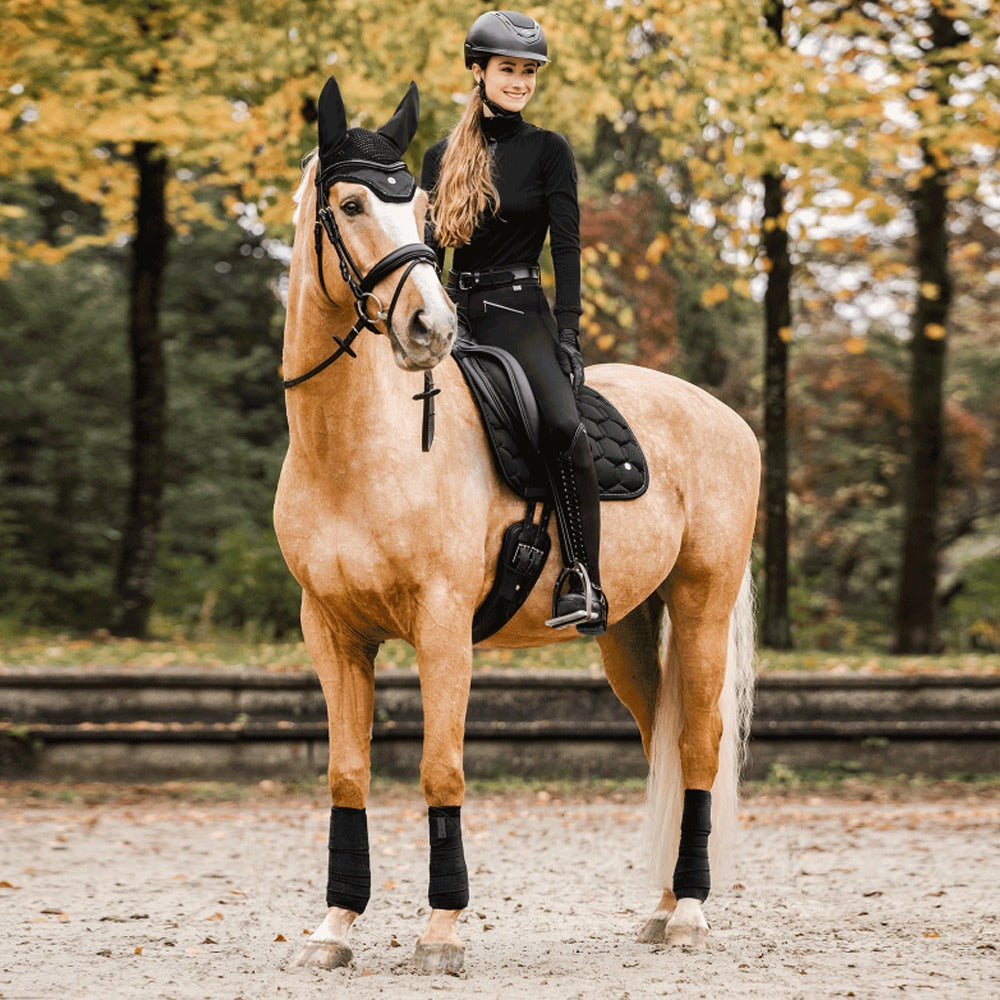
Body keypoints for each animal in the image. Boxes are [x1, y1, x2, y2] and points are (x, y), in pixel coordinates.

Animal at [273, 77, 760, 976]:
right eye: (352, 203)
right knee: (663, 740)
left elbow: (442, 770)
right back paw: (663, 903)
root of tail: (722, 415)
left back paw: (690, 912)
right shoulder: (331, 632)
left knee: (700, 744)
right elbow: (348, 775)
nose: (428, 329)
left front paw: (441, 931)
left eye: (418, 207)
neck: (358, 447)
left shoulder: (441, 627)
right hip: (626, 629)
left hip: (701, 604)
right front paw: (334, 927)